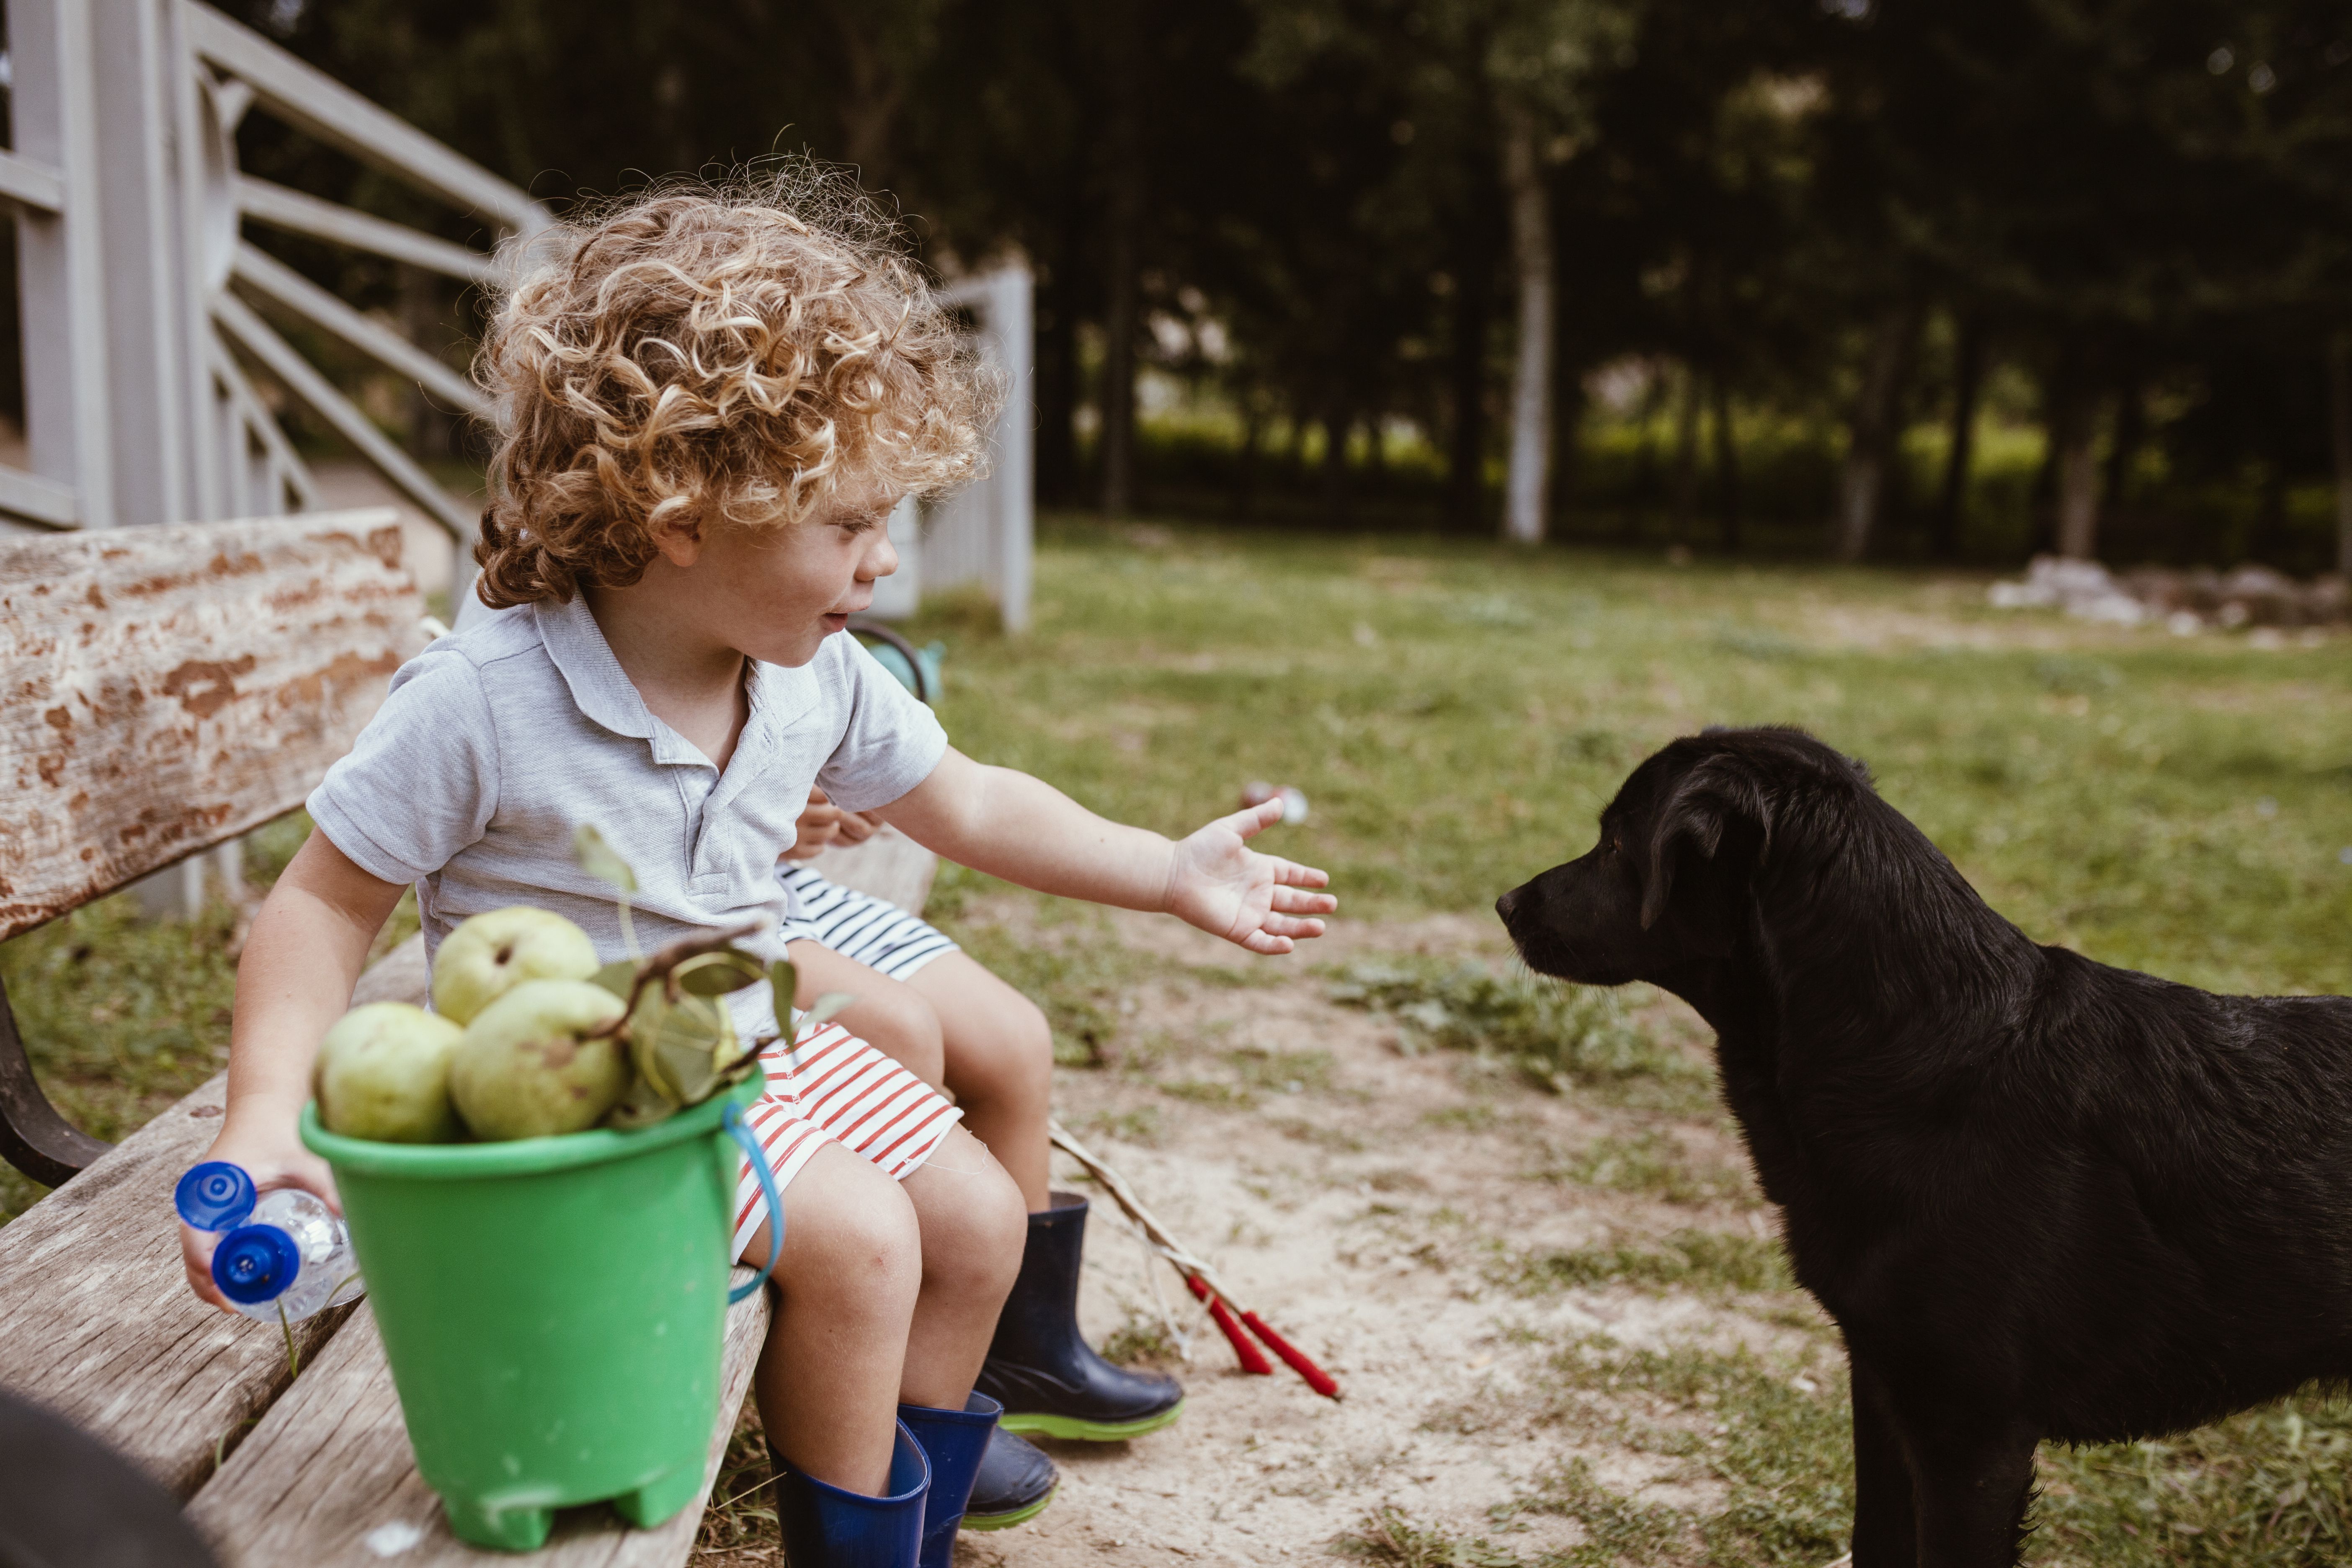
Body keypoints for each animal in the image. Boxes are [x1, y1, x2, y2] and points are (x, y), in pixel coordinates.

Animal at [1496, 729, 2352, 1568]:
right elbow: (1874, 1540)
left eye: (1615, 845)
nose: (1503, 903)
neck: (1928, 1057)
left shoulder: (1969, 1435)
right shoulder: (1882, 1390)